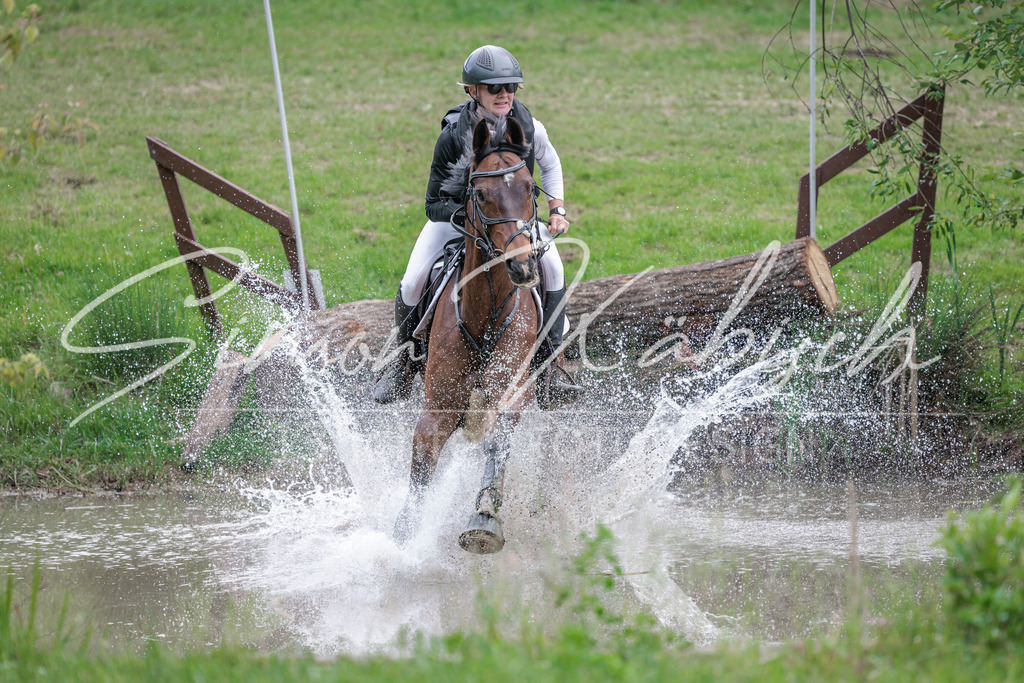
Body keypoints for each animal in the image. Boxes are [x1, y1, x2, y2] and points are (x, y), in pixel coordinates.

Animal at [393, 116, 546, 554]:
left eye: (530, 187)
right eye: (479, 193)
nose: (522, 267)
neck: (485, 310)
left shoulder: (512, 394)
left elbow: (497, 445)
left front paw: (484, 519)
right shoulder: (437, 409)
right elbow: (422, 464)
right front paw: (404, 535)